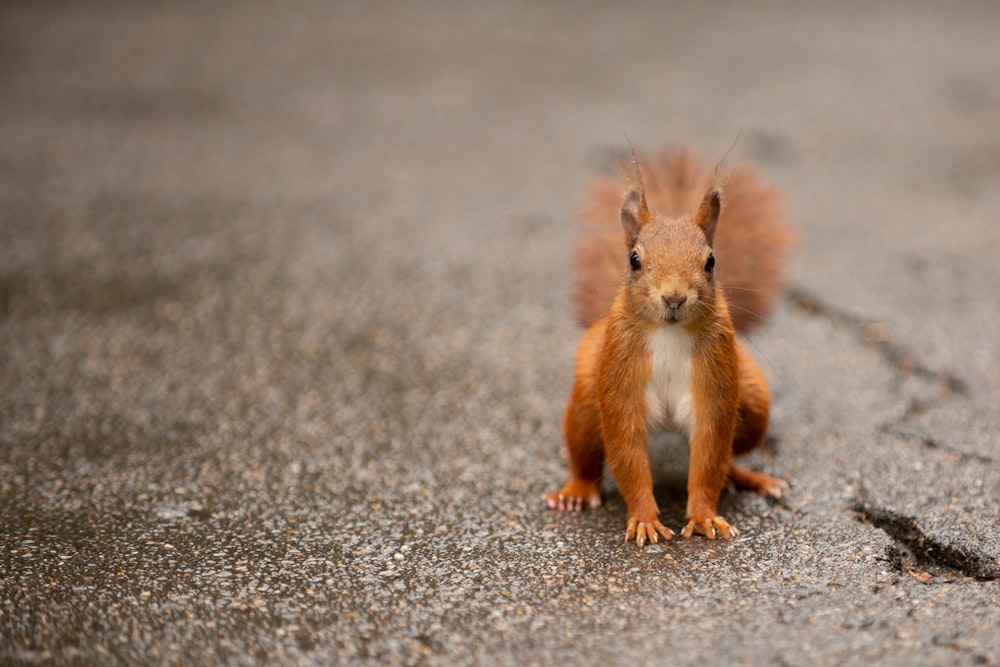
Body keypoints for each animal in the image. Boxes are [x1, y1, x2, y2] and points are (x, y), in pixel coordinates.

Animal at [544, 147, 792, 548]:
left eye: (711, 261)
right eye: (634, 259)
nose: (674, 298)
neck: (669, 333)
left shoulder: (717, 378)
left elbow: (710, 453)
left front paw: (705, 515)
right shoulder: (619, 376)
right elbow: (627, 451)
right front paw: (645, 518)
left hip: (754, 403)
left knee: (729, 457)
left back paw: (751, 479)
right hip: (585, 397)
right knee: (583, 449)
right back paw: (576, 492)